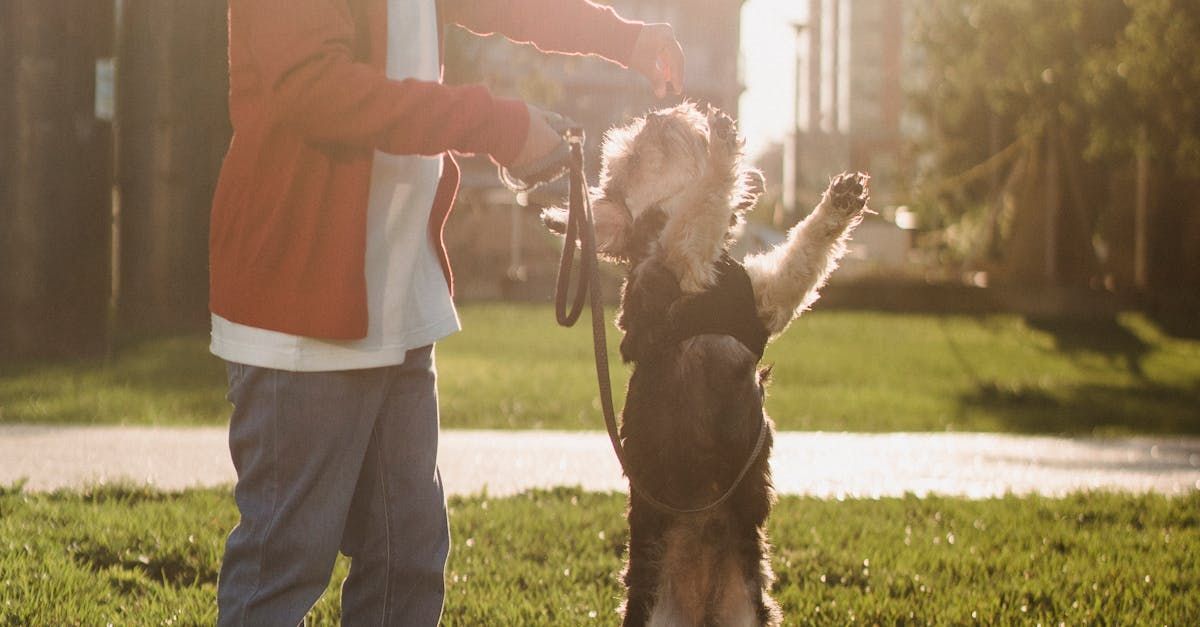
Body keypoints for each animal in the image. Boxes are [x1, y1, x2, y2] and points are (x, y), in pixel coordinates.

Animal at [542, 100, 864, 619]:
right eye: (633, 154)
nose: (661, 112)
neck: (713, 285)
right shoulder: (678, 263)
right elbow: (699, 210)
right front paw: (722, 153)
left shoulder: (768, 299)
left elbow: (803, 252)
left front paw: (839, 201)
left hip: (752, 610)